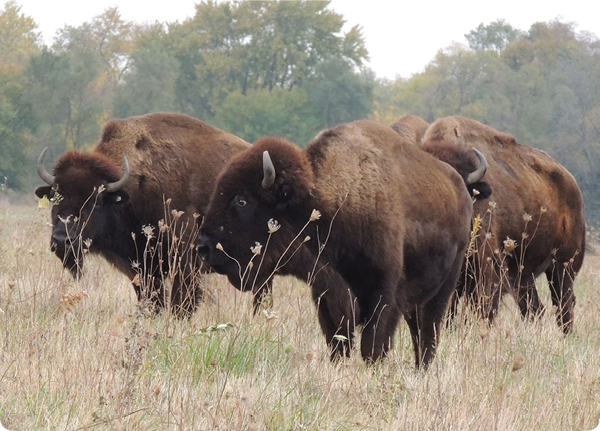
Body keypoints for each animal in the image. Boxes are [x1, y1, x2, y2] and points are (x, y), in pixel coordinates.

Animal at [35, 113, 274, 316]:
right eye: (55, 196)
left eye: (95, 200)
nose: (61, 240)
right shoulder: (142, 270)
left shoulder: (185, 265)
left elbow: (180, 305)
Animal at [197, 120, 488, 368]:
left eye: (242, 200)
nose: (204, 247)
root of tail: (461, 191)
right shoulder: (326, 294)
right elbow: (338, 344)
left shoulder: (384, 295)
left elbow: (372, 347)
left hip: (443, 289)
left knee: (428, 334)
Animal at [422, 116, 584, 332]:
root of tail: (572, 183)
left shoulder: (488, 272)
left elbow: (484, 309)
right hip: (525, 277)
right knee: (534, 308)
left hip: (563, 267)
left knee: (563, 305)